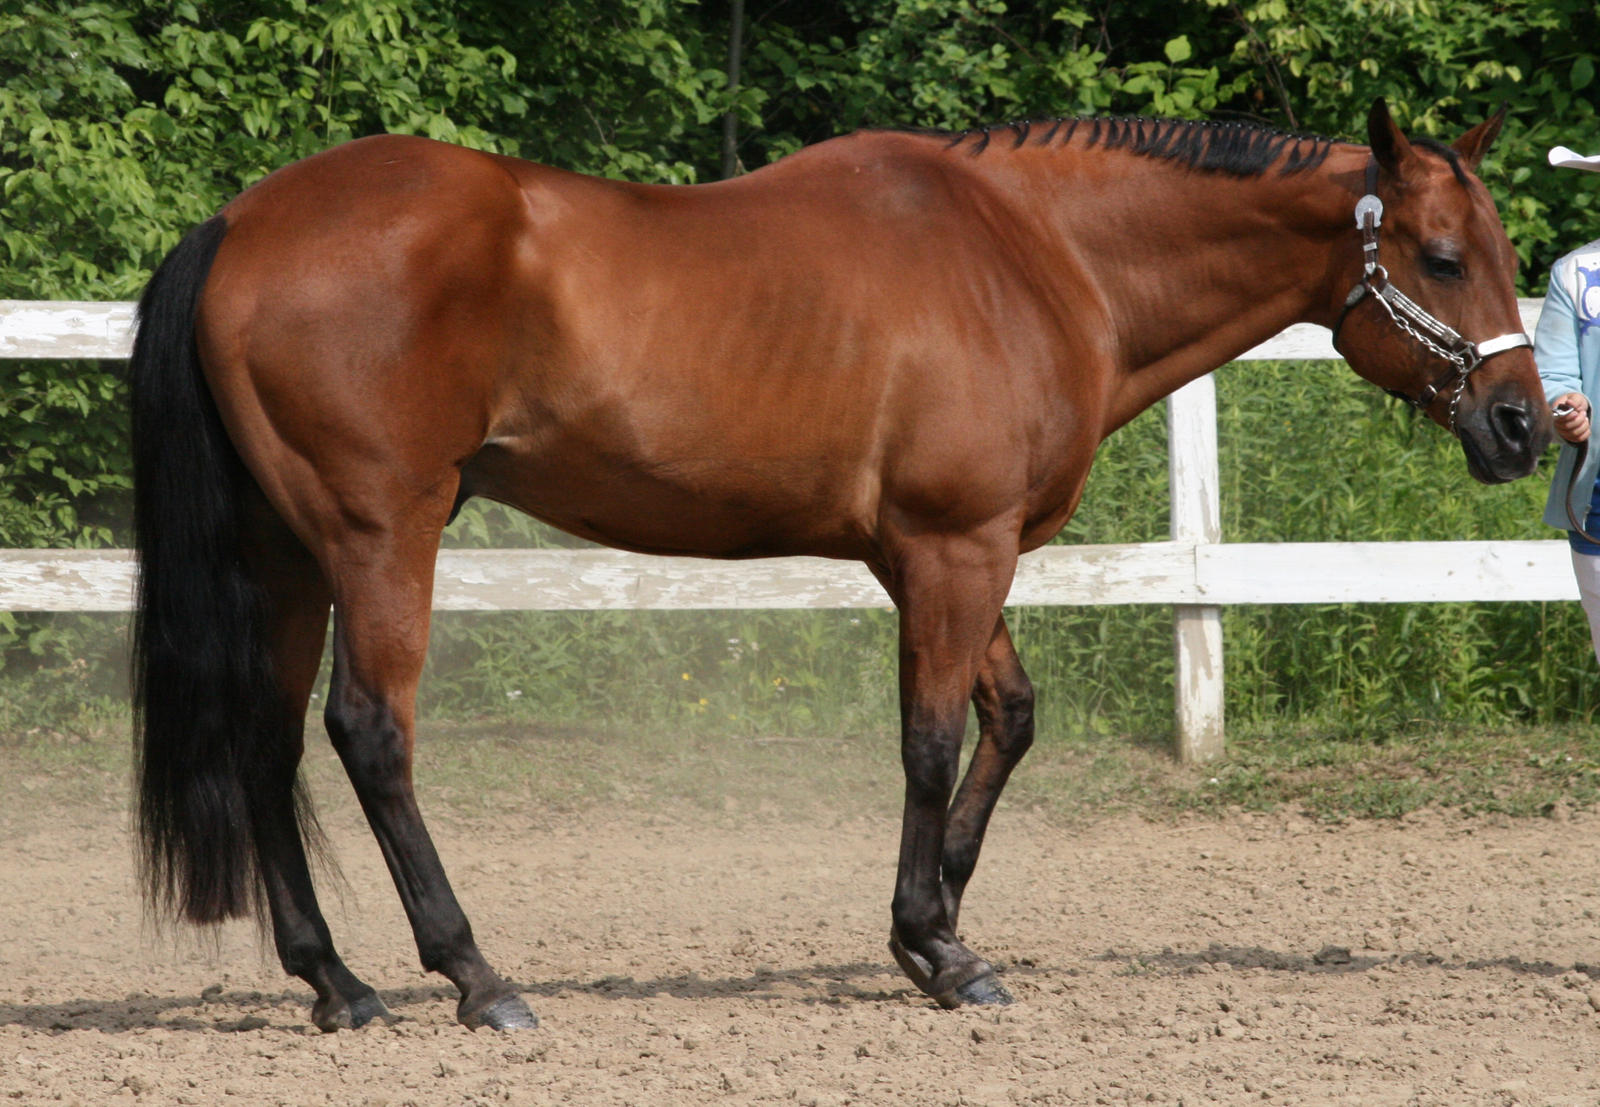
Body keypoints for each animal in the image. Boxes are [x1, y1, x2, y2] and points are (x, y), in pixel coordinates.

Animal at [127, 98, 1548, 1031]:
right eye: (1438, 258)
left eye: (1504, 256)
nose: (1524, 425)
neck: (1035, 253)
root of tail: (241, 220)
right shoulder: (952, 549)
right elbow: (929, 741)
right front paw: (938, 949)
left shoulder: (949, 556)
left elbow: (1008, 720)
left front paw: (942, 928)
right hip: (380, 537)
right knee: (370, 734)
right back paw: (476, 976)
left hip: (288, 553)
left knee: (265, 744)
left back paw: (336, 983)